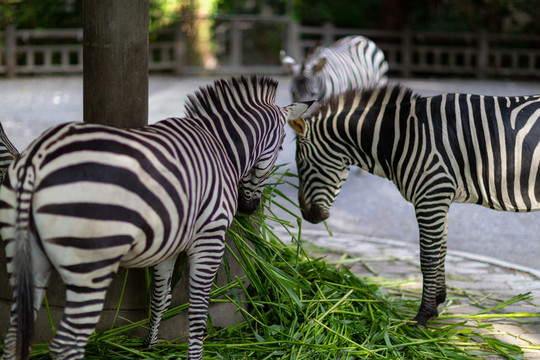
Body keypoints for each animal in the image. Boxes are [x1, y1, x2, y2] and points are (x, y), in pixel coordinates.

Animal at [0, 76, 310, 360]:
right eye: (282, 148)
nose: (249, 207)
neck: (220, 146)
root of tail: (36, 159)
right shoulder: (210, 239)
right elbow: (198, 310)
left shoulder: (168, 243)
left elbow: (161, 298)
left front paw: (150, 345)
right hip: (90, 264)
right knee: (66, 344)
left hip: (26, 257)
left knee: (14, 335)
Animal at [288, 83, 540, 326]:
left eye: (301, 163)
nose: (307, 215)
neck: (400, 136)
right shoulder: (439, 197)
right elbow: (441, 250)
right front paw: (438, 300)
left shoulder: (431, 195)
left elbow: (428, 257)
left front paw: (423, 315)